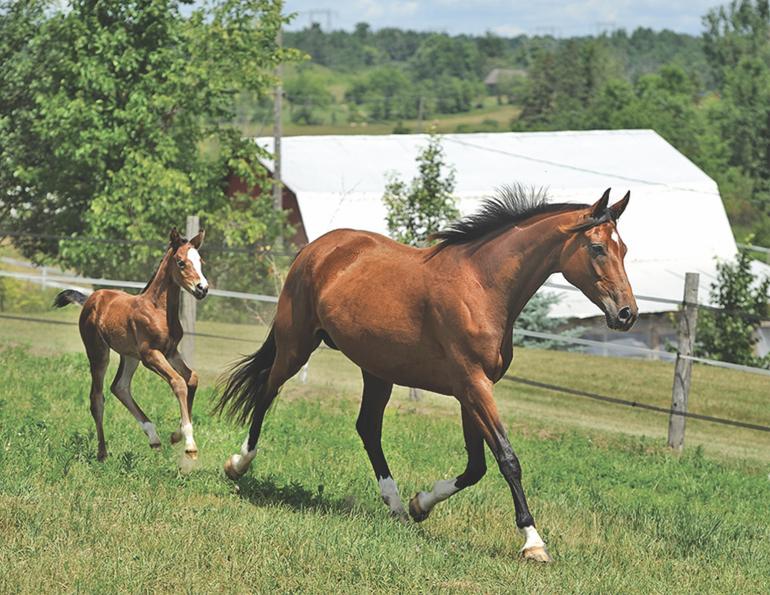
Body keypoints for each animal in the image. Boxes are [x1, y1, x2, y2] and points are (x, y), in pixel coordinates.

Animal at [53, 228, 209, 467]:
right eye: (181, 262)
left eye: (200, 261)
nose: (202, 289)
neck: (158, 309)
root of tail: (91, 298)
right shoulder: (150, 355)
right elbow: (178, 382)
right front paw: (189, 445)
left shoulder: (171, 352)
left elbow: (192, 379)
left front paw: (176, 435)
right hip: (99, 352)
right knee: (97, 398)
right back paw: (102, 454)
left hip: (129, 356)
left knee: (120, 386)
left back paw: (154, 438)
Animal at [214, 186, 637, 562]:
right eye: (598, 248)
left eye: (624, 249)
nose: (626, 314)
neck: (482, 287)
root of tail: (316, 248)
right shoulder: (473, 385)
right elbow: (507, 459)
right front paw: (533, 543)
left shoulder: (471, 391)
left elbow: (477, 466)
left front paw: (421, 504)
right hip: (296, 345)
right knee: (266, 393)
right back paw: (238, 465)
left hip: (376, 369)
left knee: (368, 428)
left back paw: (397, 507)